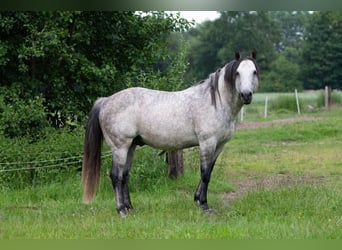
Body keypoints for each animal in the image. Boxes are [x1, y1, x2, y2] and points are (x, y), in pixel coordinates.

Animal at [82, 49, 260, 216]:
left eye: (254, 72)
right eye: (237, 73)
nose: (246, 95)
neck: (216, 102)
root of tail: (105, 100)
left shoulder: (219, 146)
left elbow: (208, 172)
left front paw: (197, 200)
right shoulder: (207, 143)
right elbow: (205, 174)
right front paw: (204, 205)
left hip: (130, 146)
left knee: (124, 176)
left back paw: (130, 208)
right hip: (120, 147)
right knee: (116, 176)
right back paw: (121, 211)